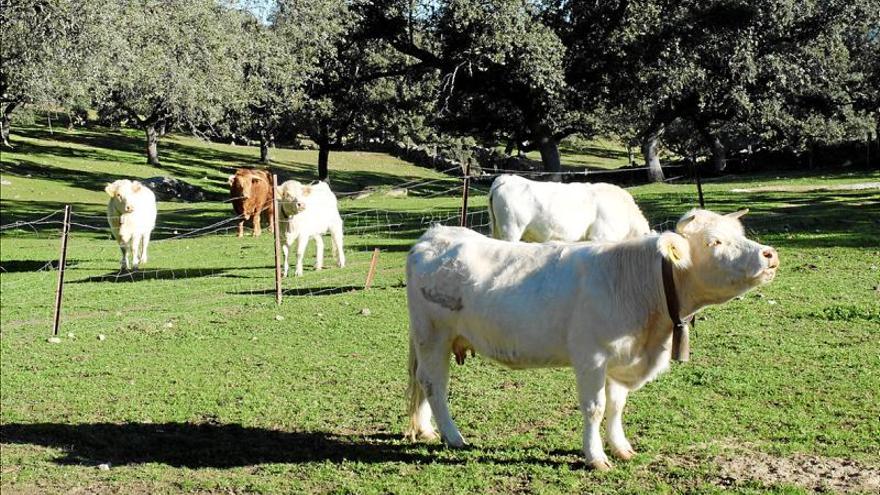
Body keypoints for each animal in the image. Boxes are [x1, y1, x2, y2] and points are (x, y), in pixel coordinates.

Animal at [404, 210, 776, 472]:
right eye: (715, 242)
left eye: (740, 235)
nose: (770, 254)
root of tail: (434, 234)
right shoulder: (591, 357)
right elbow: (595, 408)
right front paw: (596, 456)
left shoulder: (620, 360)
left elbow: (616, 406)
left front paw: (622, 448)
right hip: (433, 335)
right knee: (435, 384)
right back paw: (453, 436)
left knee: (423, 382)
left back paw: (425, 430)